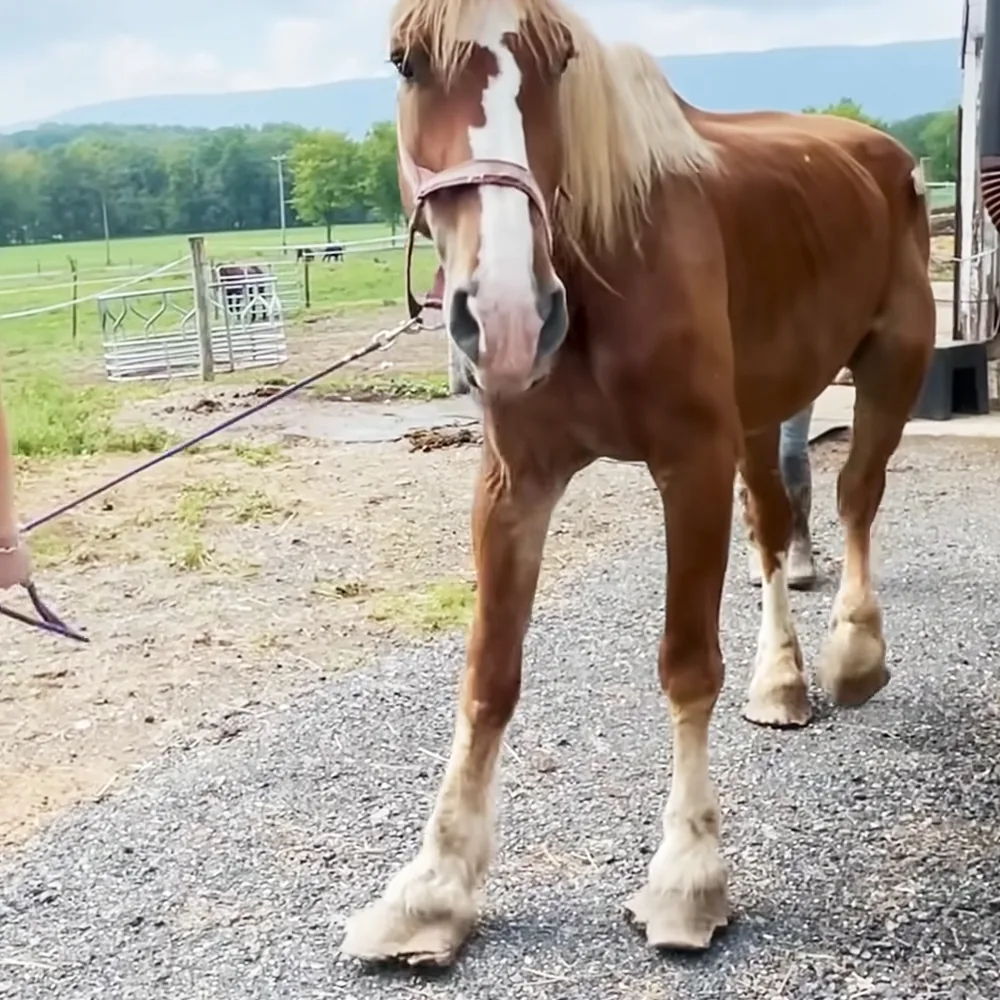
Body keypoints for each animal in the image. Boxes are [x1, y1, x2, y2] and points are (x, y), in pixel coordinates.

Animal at [341, 0, 936, 966]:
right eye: (404, 61)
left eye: (559, 61)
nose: (508, 317)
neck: (603, 261)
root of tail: (878, 151)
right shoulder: (516, 483)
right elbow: (487, 678)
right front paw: (431, 891)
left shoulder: (688, 465)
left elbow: (686, 666)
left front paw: (687, 879)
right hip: (762, 412)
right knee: (773, 526)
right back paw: (781, 684)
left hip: (892, 365)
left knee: (855, 498)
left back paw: (854, 656)